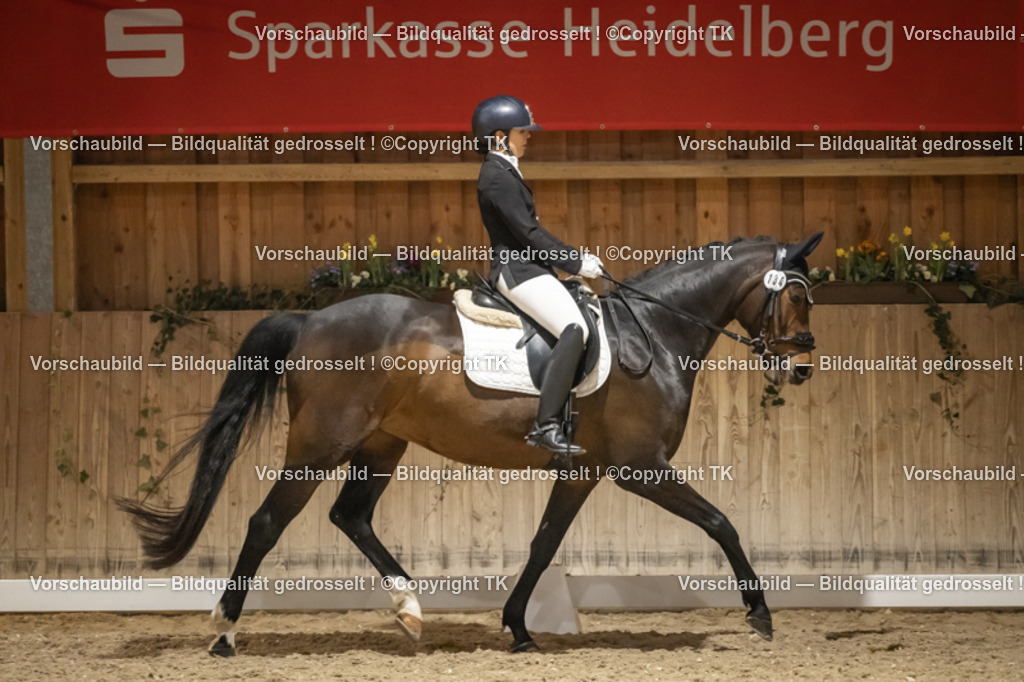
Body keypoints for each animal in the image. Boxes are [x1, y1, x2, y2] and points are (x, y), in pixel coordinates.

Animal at [119, 232, 823, 656]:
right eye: (798, 296)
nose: (802, 367)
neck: (651, 331)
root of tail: (311, 318)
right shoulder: (639, 467)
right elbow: (722, 522)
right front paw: (760, 613)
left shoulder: (584, 471)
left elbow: (543, 545)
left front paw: (518, 628)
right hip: (319, 446)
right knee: (268, 522)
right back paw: (224, 631)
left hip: (381, 445)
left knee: (351, 515)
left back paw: (409, 609)